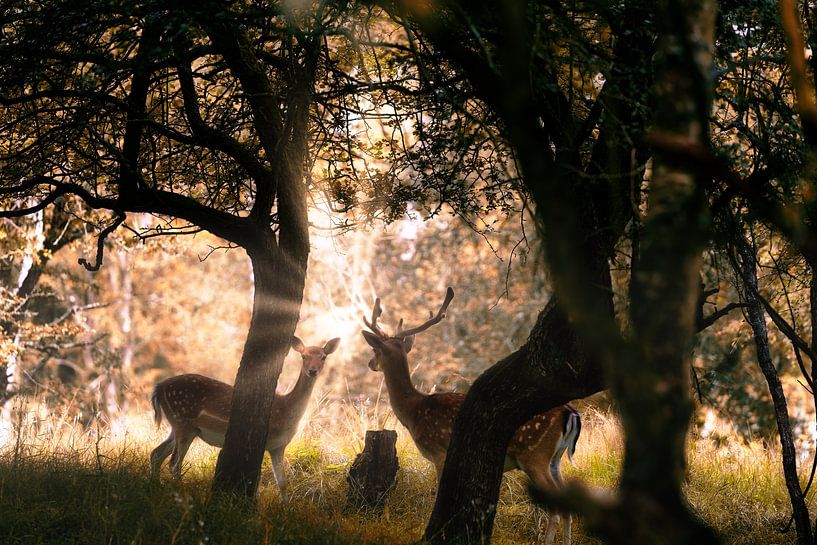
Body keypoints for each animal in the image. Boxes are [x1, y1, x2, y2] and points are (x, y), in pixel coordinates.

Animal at [149, 336, 340, 500]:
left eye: (323, 357)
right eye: (303, 356)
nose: (313, 370)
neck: (286, 412)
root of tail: (159, 388)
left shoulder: (278, 446)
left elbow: (282, 482)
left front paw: (286, 509)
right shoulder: (265, 441)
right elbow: (257, 478)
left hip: (181, 426)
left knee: (156, 454)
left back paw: (156, 487)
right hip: (182, 420)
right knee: (174, 463)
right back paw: (179, 494)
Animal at [361, 288, 580, 545]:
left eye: (375, 349)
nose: (370, 363)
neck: (414, 411)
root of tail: (570, 413)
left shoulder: (439, 451)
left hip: (534, 455)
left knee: (555, 509)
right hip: (555, 460)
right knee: (567, 508)